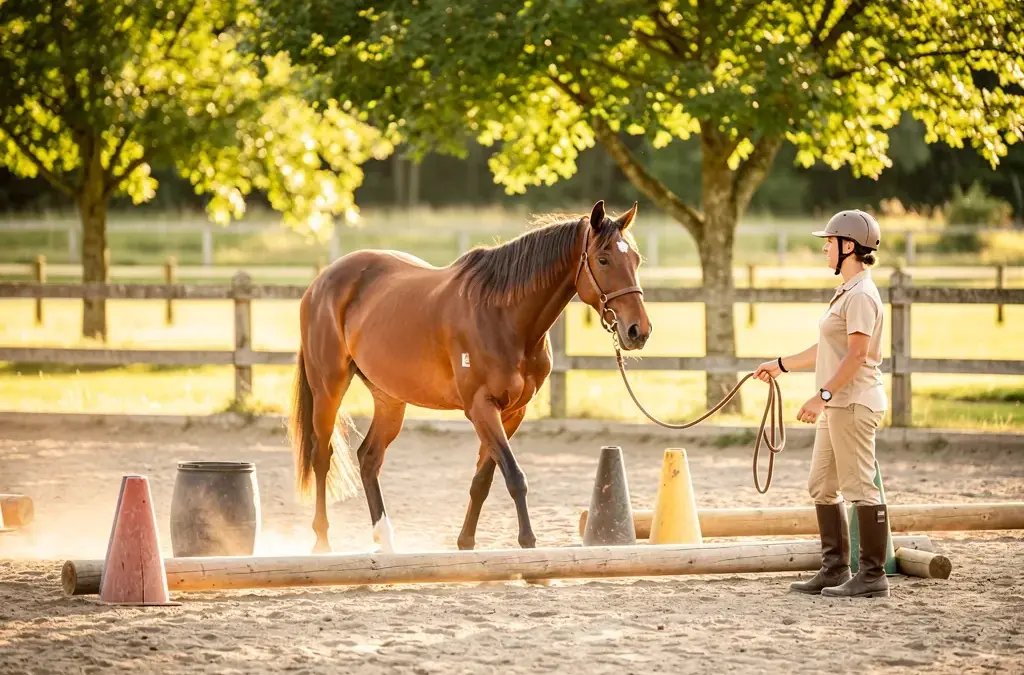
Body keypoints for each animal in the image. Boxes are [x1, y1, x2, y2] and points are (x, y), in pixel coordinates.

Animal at [288, 200, 653, 554]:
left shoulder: (512, 412)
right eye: (603, 259)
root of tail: (321, 282)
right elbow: (514, 476)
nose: (638, 331)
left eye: (635, 259)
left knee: (368, 458)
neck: (504, 317)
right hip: (328, 388)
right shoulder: (481, 407)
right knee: (322, 456)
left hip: (390, 399)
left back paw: (386, 540)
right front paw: (528, 543)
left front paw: (466, 543)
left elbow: (484, 480)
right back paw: (322, 540)